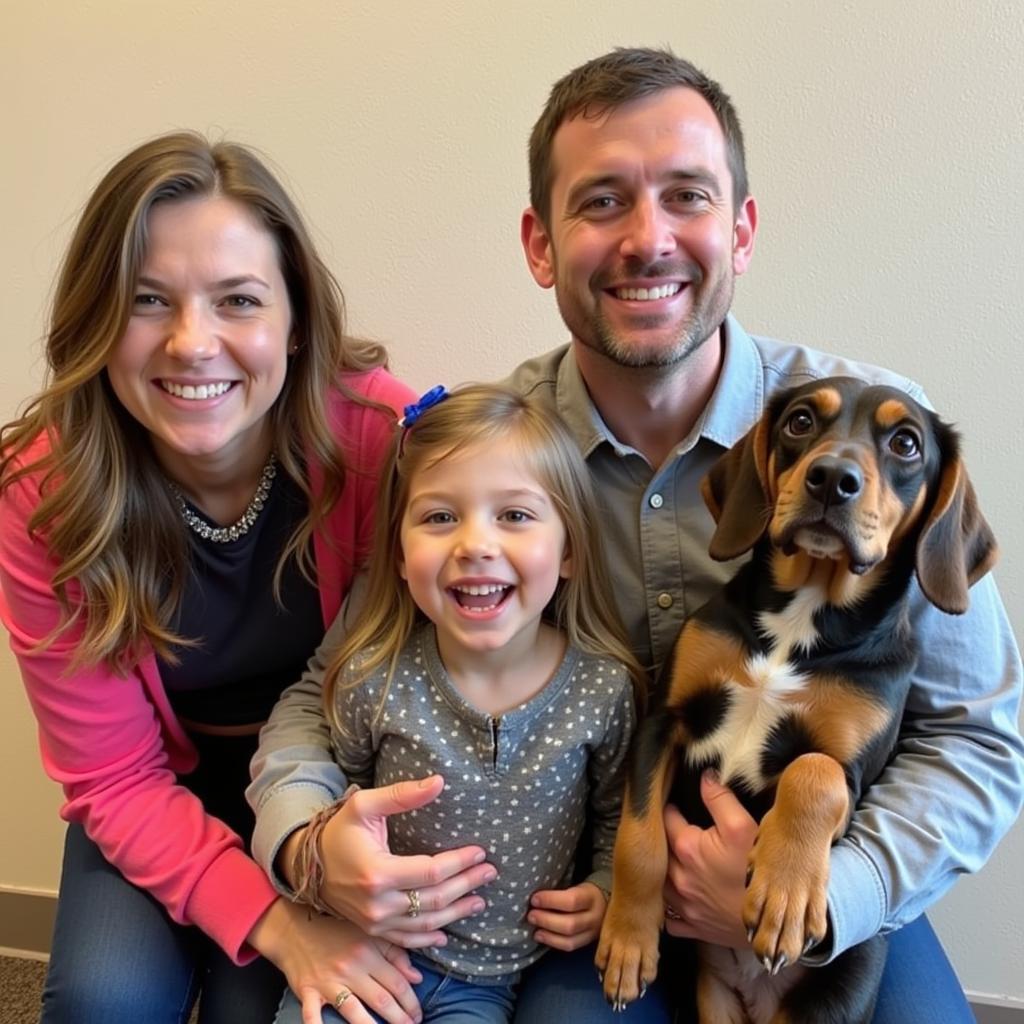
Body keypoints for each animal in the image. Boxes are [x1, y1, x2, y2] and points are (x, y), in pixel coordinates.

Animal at [598, 378, 995, 1024]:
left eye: (906, 443)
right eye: (801, 422)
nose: (832, 479)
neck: (804, 612)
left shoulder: (854, 772)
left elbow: (815, 771)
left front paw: (784, 895)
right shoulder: (665, 720)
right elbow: (639, 842)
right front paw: (628, 942)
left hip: (832, 1001)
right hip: (712, 1000)